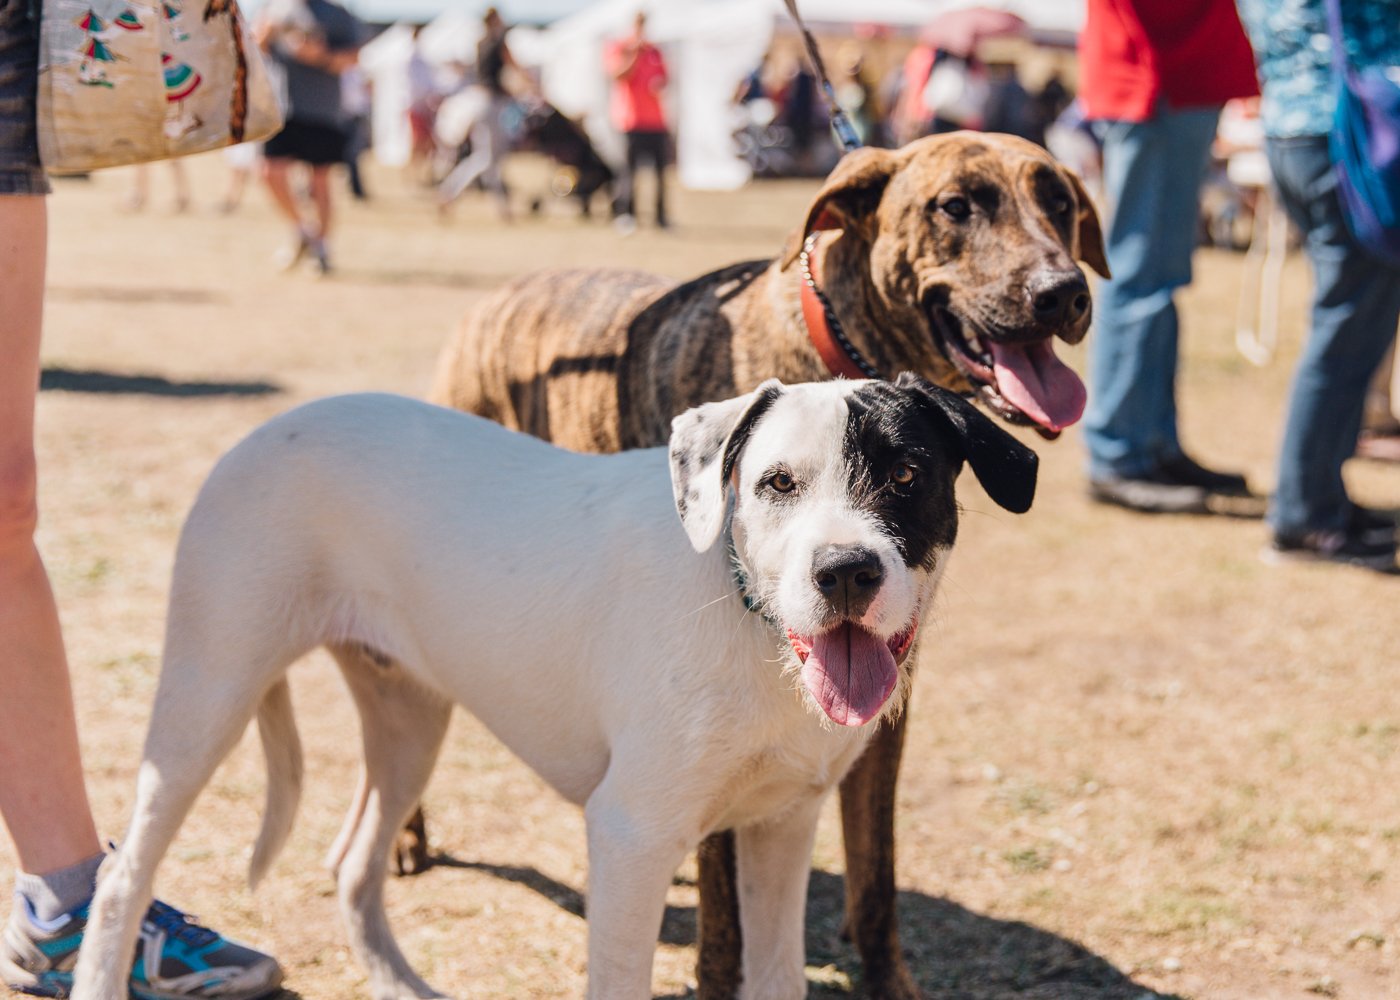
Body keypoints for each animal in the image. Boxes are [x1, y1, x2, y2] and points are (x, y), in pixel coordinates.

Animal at [76, 372, 1041, 997]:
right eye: (777, 483)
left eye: (909, 475)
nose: (844, 572)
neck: (742, 612)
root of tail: (270, 425)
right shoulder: (631, 837)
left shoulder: (779, 826)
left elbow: (776, 979)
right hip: (208, 695)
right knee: (123, 877)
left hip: (409, 719)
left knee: (353, 865)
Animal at [414, 132, 1103, 997]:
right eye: (956, 206)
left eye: (1060, 202)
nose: (1063, 293)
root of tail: (505, 291)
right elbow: (723, 901)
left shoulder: (887, 710)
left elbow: (876, 872)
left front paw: (887, 977)